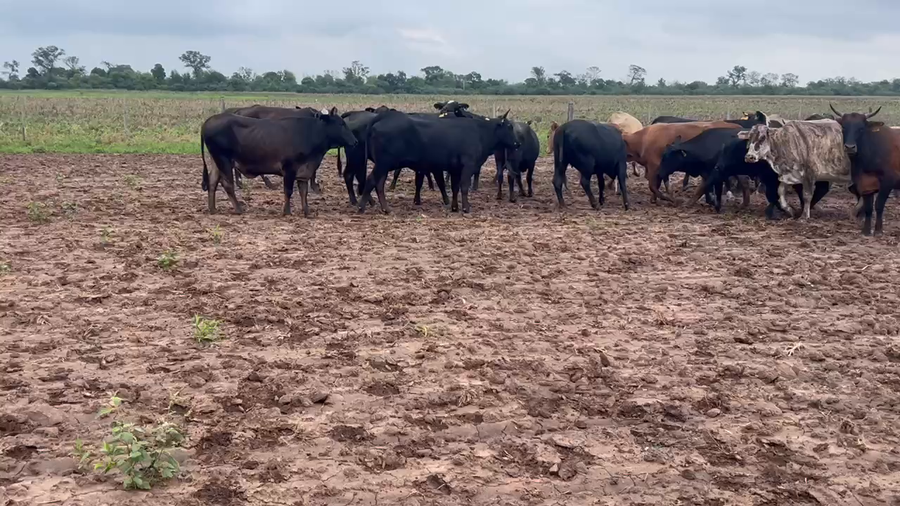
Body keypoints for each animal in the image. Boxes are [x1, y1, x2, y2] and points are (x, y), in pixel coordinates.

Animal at [200, 107, 358, 218]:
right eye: (341, 124)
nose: (355, 141)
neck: (310, 133)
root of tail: (208, 121)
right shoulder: (289, 168)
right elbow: (288, 191)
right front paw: (286, 211)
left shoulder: (304, 171)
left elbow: (304, 191)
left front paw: (307, 211)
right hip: (224, 159)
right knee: (227, 184)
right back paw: (239, 209)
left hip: (216, 161)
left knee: (213, 182)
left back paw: (212, 208)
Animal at [359, 109, 519, 214]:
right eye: (509, 127)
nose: (517, 143)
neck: (480, 132)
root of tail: (385, 116)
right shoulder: (468, 165)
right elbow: (464, 187)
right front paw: (466, 208)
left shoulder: (455, 168)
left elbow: (455, 187)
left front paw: (454, 207)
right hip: (383, 163)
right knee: (371, 180)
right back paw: (361, 207)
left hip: (384, 165)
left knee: (379, 184)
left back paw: (385, 208)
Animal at [831, 104, 900, 235]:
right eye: (844, 127)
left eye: (861, 129)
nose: (850, 147)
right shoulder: (866, 185)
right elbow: (868, 207)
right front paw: (866, 230)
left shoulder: (888, 181)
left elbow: (879, 205)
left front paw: (878, 230)